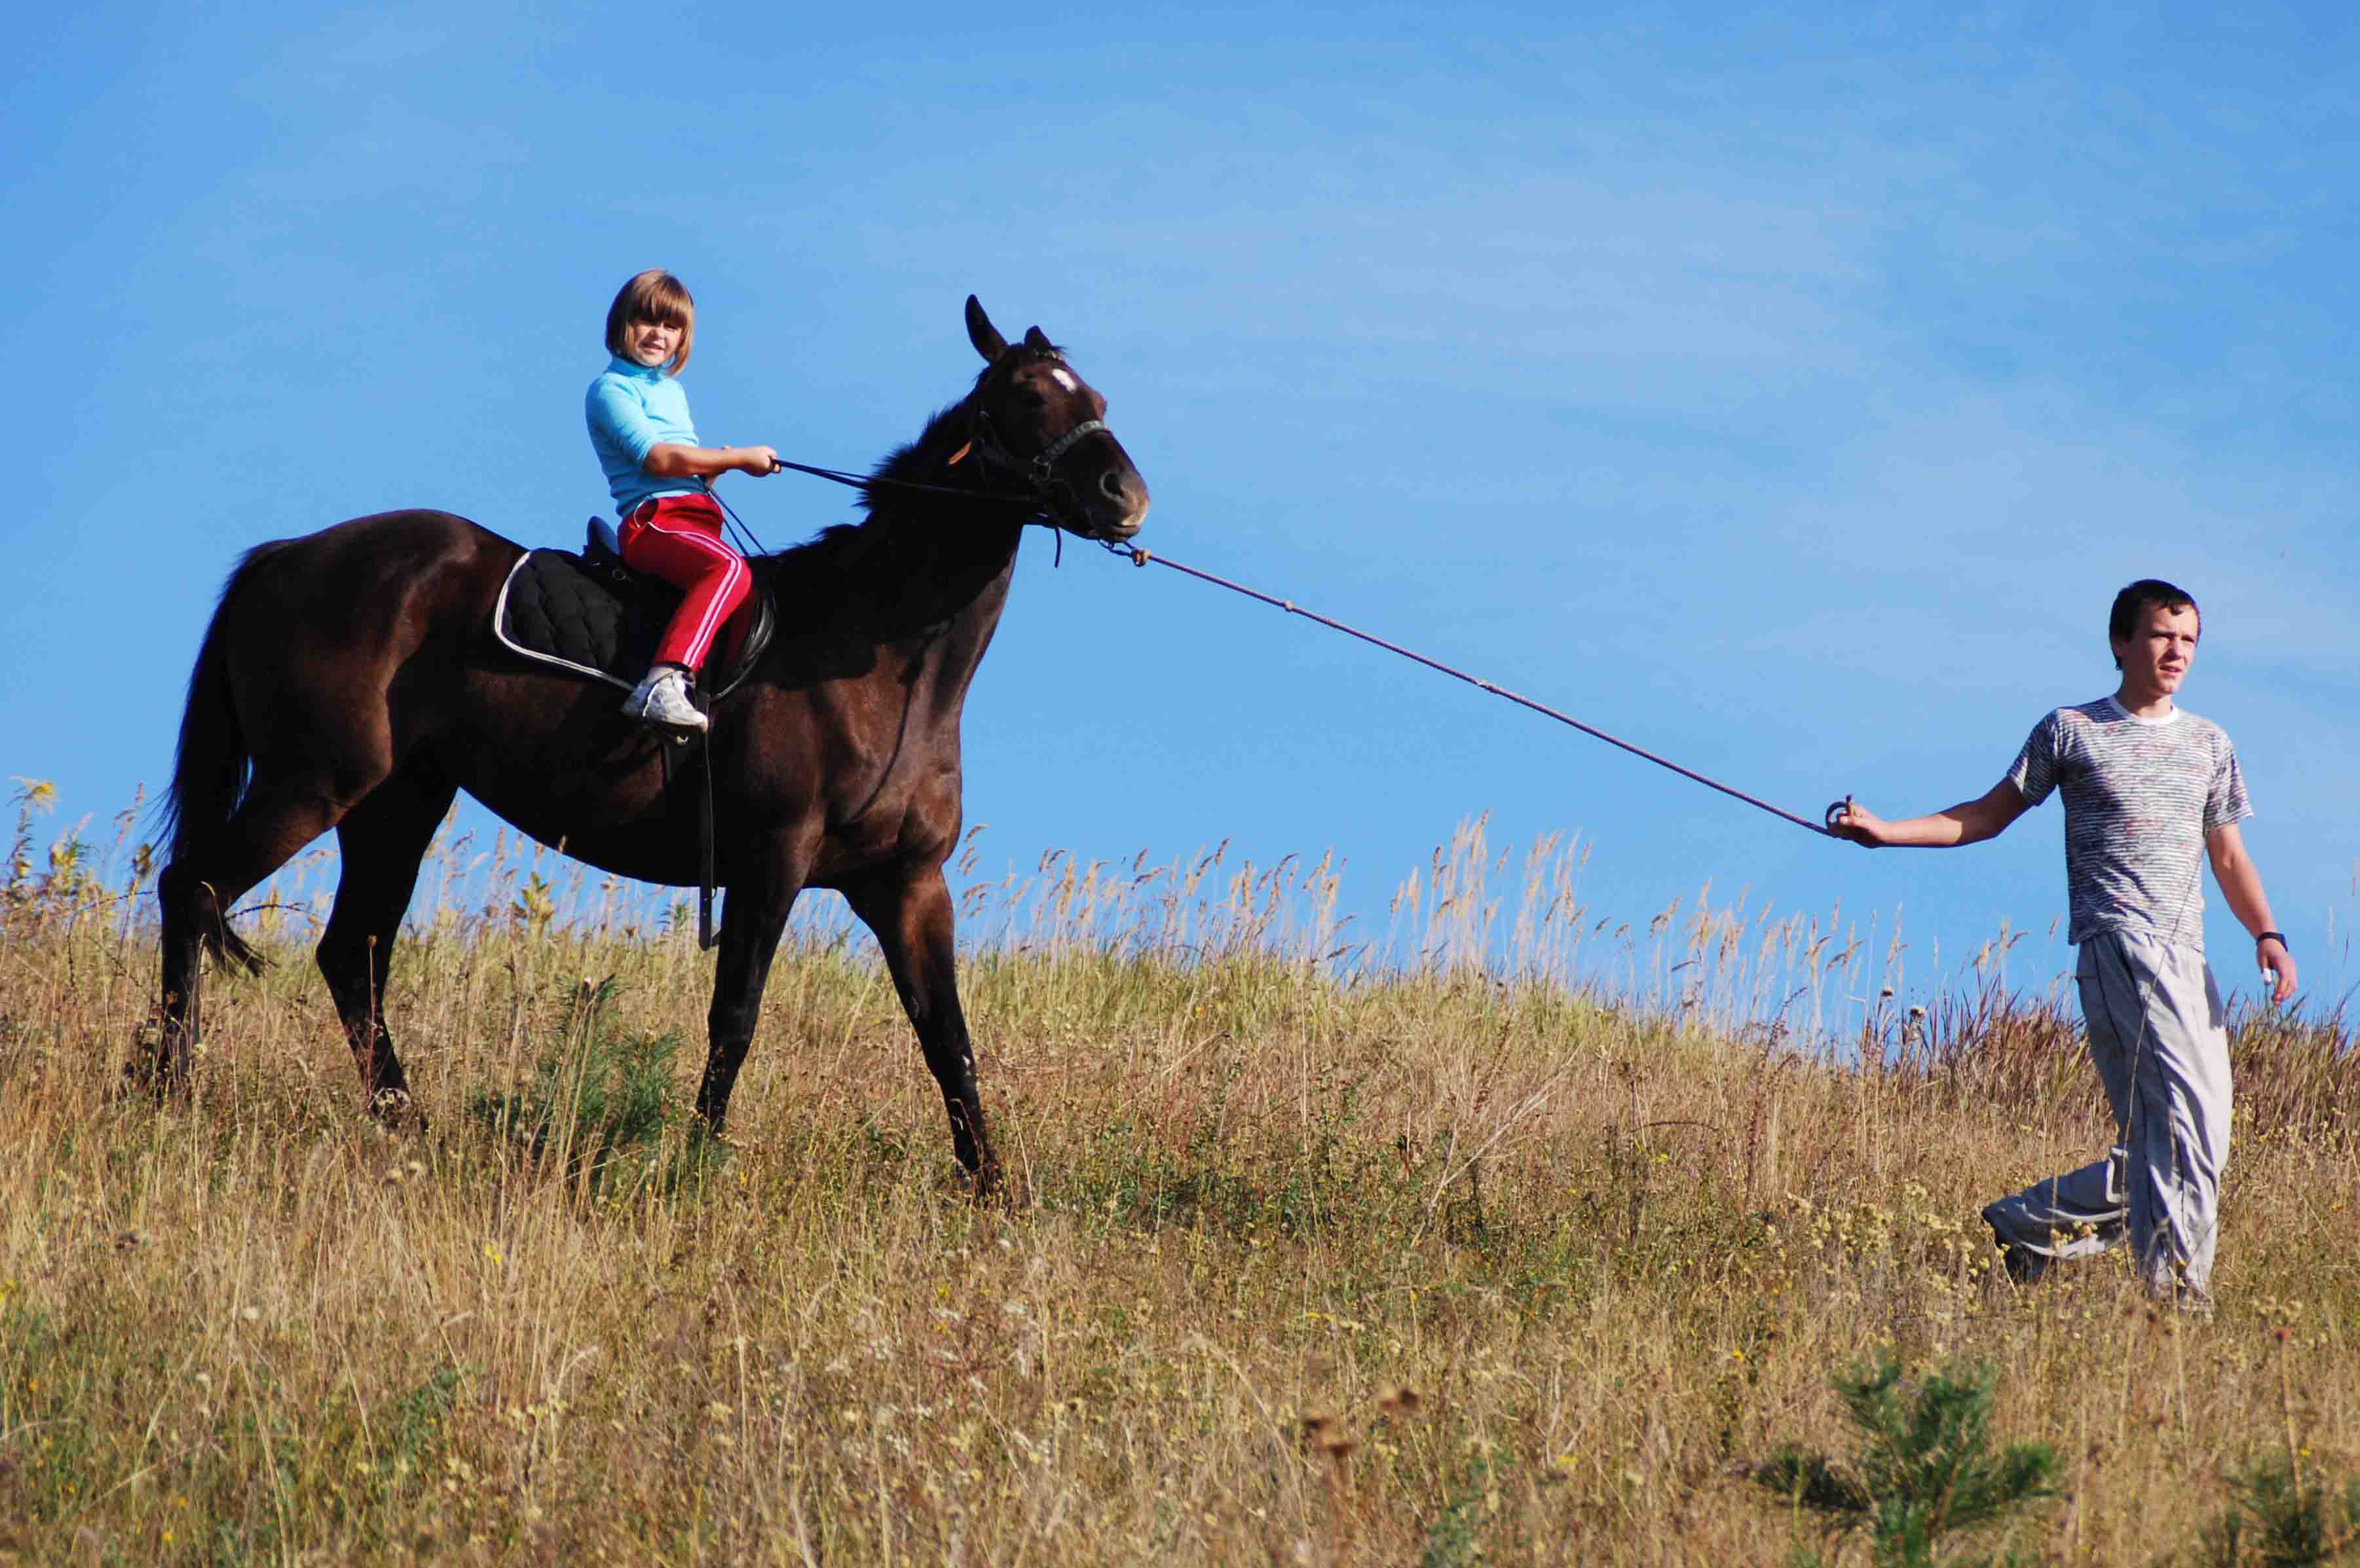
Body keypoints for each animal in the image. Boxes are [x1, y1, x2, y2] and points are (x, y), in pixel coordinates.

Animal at [151, 296, 1150, 1193]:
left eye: (1096, 394)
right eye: (1026, 394)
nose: (1126, 498)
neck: (880, 658)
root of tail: (286, 556)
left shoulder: (906, 884)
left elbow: (949, 1039)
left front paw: (994, 1188)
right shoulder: (769, 861)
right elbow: (735, 1016)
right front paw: (696, 1163)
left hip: (397, 800)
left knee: (349, 955)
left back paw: (403, 1124)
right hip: (312, 781)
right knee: (192, 889)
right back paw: (165, 1090)